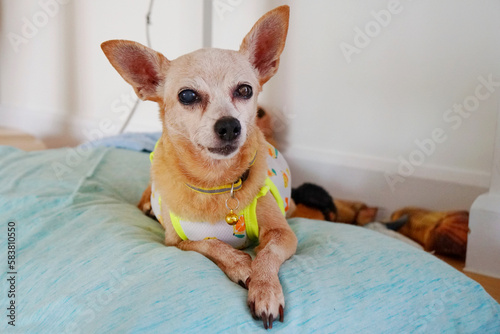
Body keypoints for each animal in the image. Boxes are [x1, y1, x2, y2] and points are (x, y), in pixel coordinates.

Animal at [102, 5, 296, 328]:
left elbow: (267, 254)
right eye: (187, 96)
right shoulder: (177, 243)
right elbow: (211, 244)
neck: (215, 183)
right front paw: (241, 265)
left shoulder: (284, 234)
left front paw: (265, 289)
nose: (230, 126)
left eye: (245, 90)